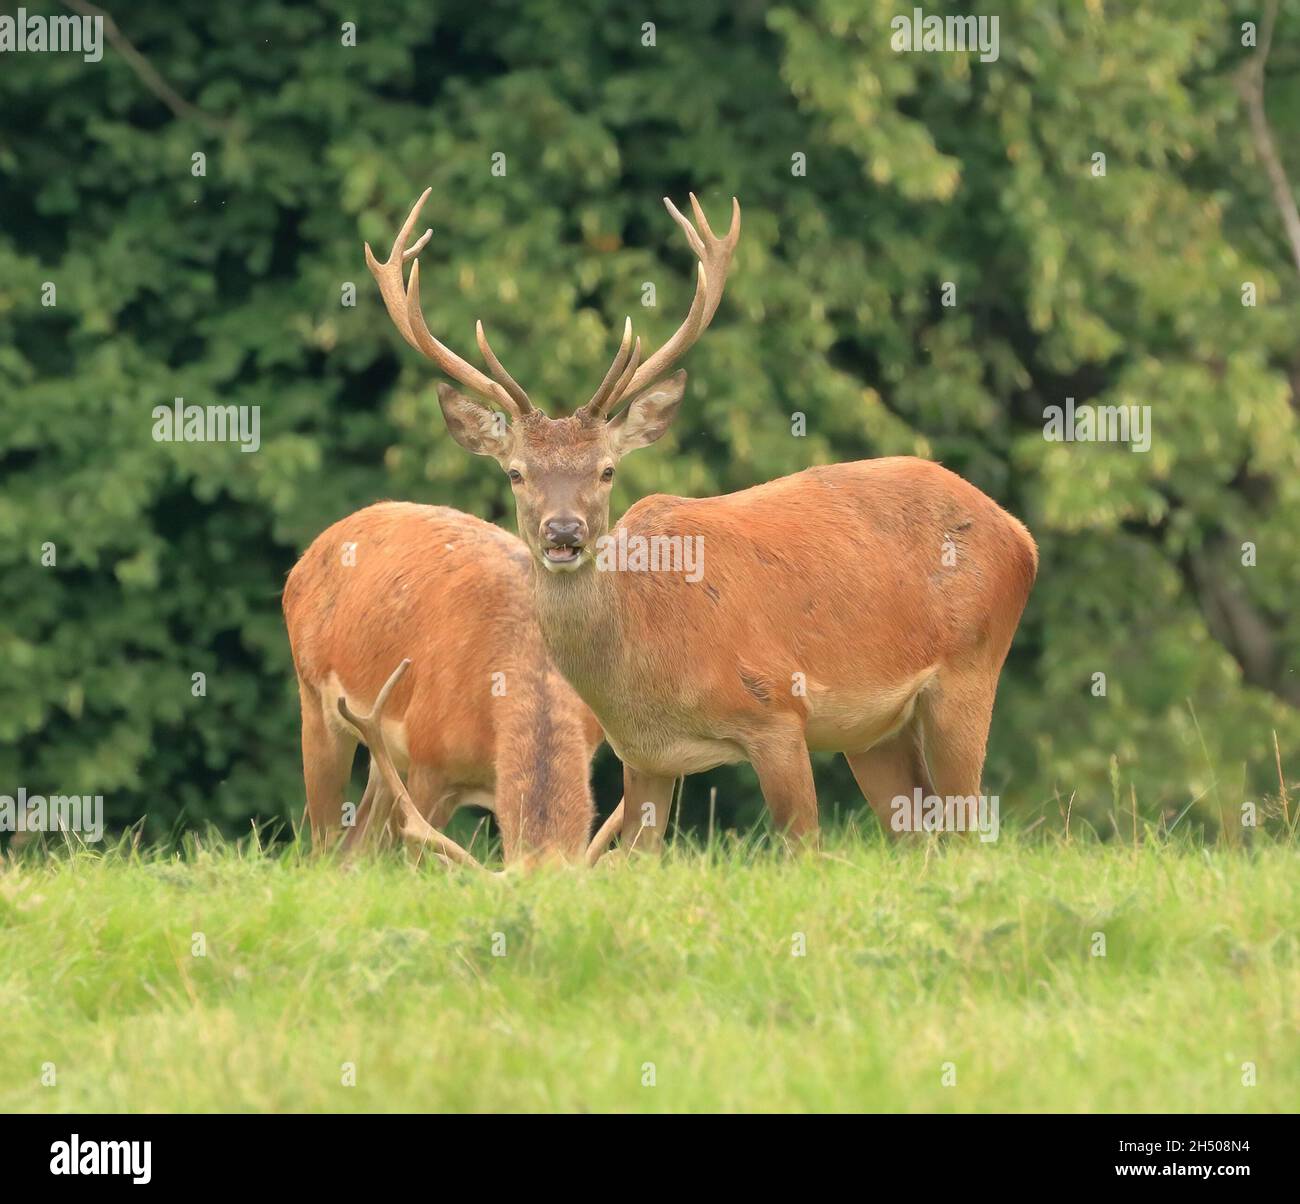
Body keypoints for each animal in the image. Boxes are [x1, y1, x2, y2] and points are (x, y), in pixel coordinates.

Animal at [283, 502, 622, 869]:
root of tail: (305, 557)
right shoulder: (428, 758)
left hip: (385, 755)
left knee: (356, 844)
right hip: (313, 699)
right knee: (324, 847)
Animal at [363, 188, 1038, 856]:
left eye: (607, 470)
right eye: (516, 473)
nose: (564, 533)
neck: (646, 657)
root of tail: (1021, 535)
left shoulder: (776, 711)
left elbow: (803, 846)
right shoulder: (644, 756)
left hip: (969, 672)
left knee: (967, 826)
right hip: (874, 732)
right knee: (921, 833)